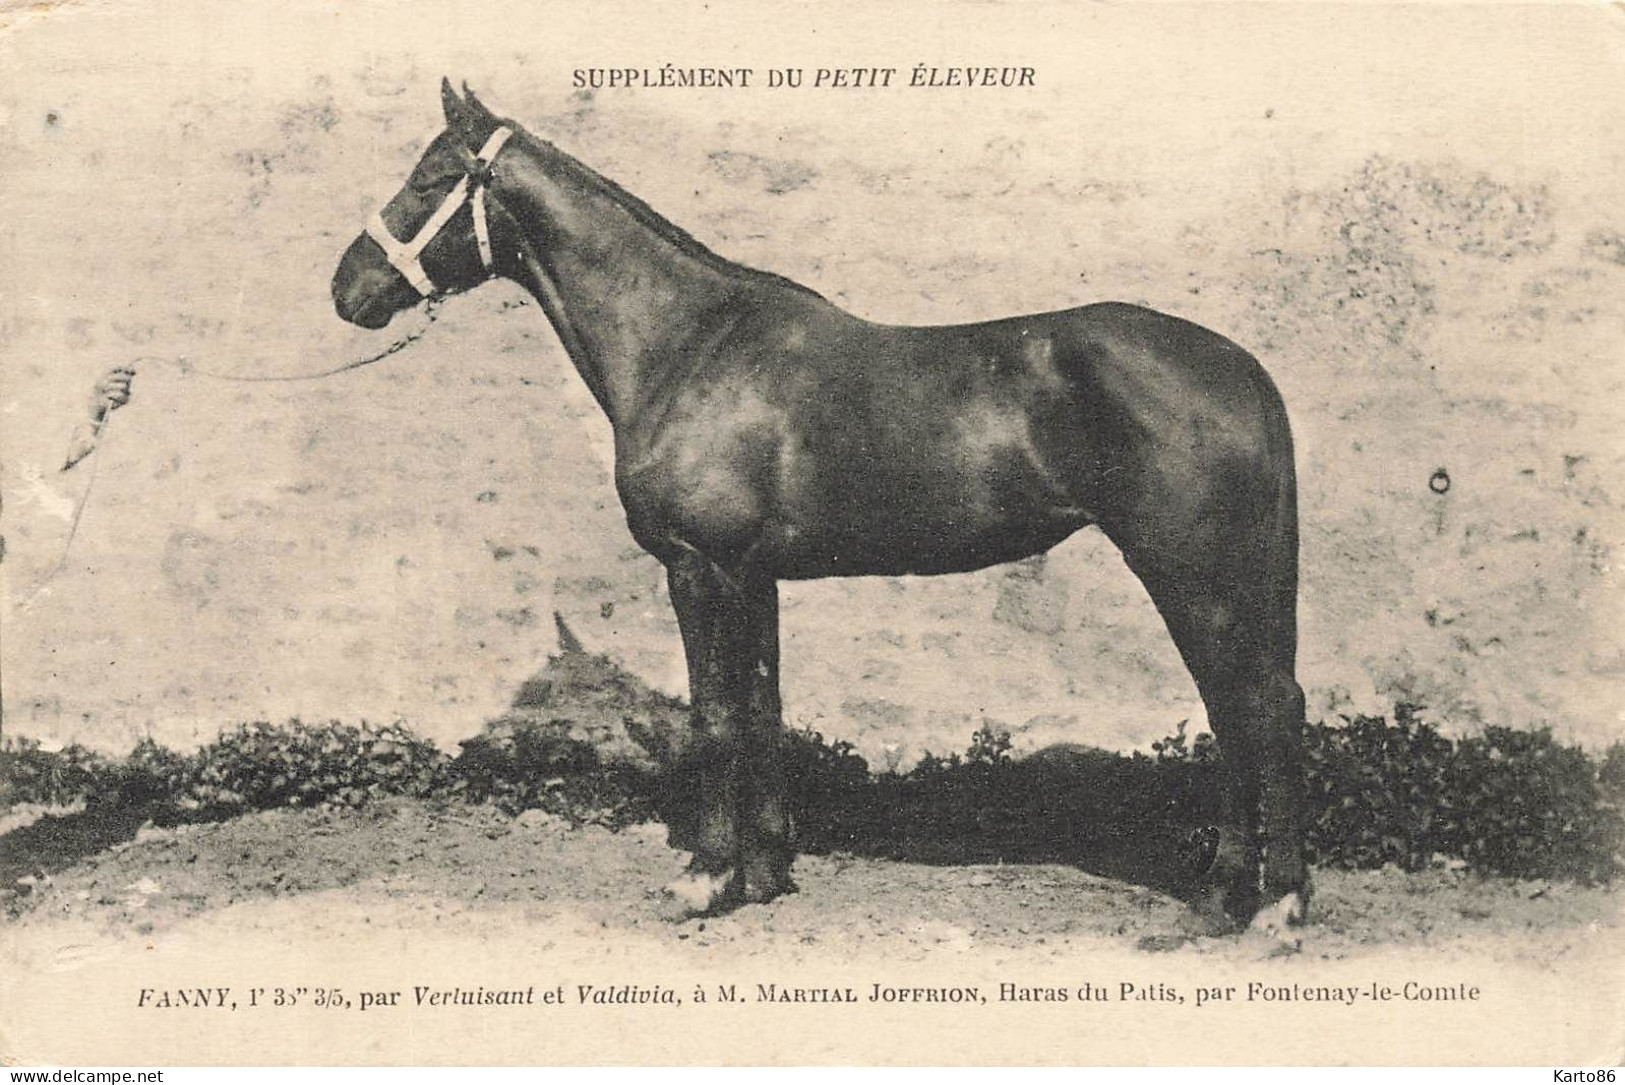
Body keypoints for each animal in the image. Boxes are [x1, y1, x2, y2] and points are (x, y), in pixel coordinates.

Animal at [329, 84, 1306, 935]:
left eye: (429, 178)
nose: (347, 288)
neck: (688, 345)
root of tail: (1238, 367)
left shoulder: (698, 568)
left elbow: (714, 717)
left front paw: (702, 879)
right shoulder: (755, 576)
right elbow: (763, 710)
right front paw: (763, 874)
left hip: (1191, 576)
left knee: (1246, 709)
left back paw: (1247, 901)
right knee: (1268, 703)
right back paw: (1263, 897)